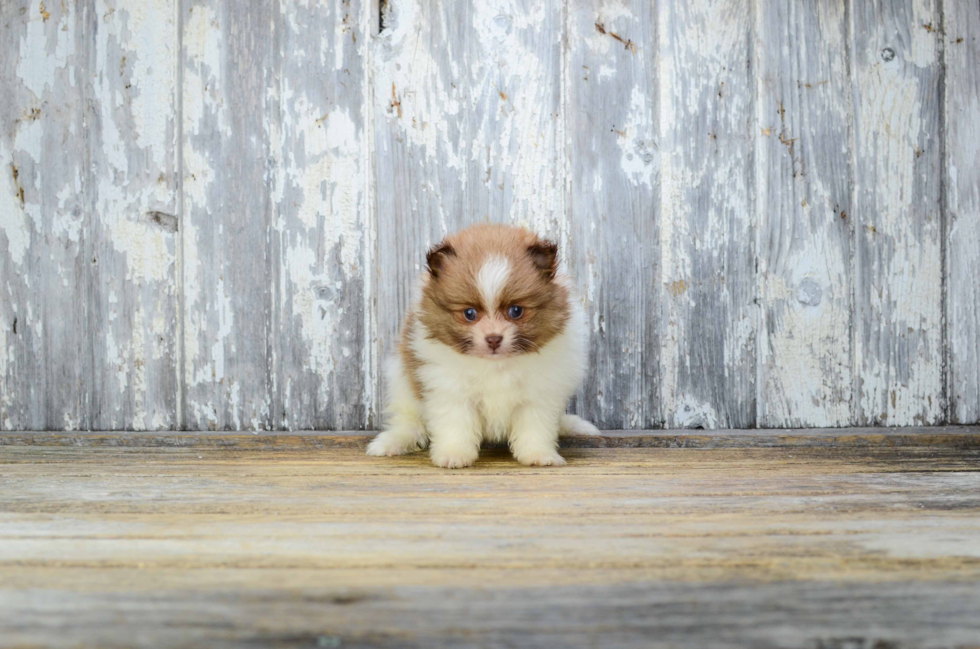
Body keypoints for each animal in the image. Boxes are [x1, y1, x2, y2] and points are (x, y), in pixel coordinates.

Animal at [368, 223, 596, 466]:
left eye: (516, 311)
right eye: (469, 313)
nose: (493, 338)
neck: (496, 364)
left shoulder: (540, 393)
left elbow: (535, 426)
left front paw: (538, 455)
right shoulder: (449, 388)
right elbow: (456, 423)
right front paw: (454, 454)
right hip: (402, 384)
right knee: (408, 420)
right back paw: (393, 441)